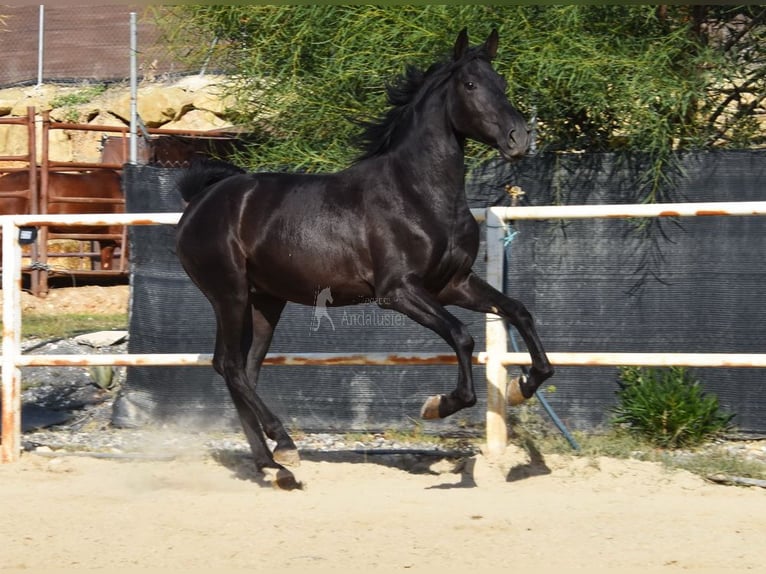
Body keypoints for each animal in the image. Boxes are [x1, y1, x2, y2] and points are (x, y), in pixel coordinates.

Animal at [177, 28, 556, 490]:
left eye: (500, 82)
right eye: (470, 84)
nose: (519, 139)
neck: (417, 193)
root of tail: (200, 201)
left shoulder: (453, 284)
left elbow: (518, 311)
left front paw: (523, 386)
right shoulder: (398, 292)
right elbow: (462, 336)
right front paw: (439, 405)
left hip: (266, 300)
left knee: (245, 371)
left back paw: (275, 467)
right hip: (228, 295)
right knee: (228, 366)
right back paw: (284, 444)